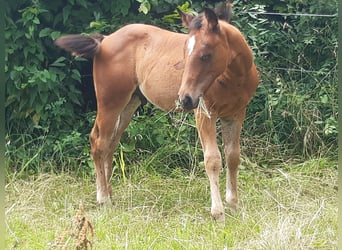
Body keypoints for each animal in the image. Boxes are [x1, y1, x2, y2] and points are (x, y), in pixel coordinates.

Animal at [54, 4, 258, 223]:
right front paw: (218, 213)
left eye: (205, 55)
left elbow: (233, 157)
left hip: (130, 103)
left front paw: (234, 205)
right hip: (110, 102)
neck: (233, 78)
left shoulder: (236, 114)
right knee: (98, 141)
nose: (185, 99)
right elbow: (212, 159)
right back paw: (103, 199)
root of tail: (105, 40)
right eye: (185, 55)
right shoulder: (205, 114)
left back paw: (110, 195)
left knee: (111, 143)